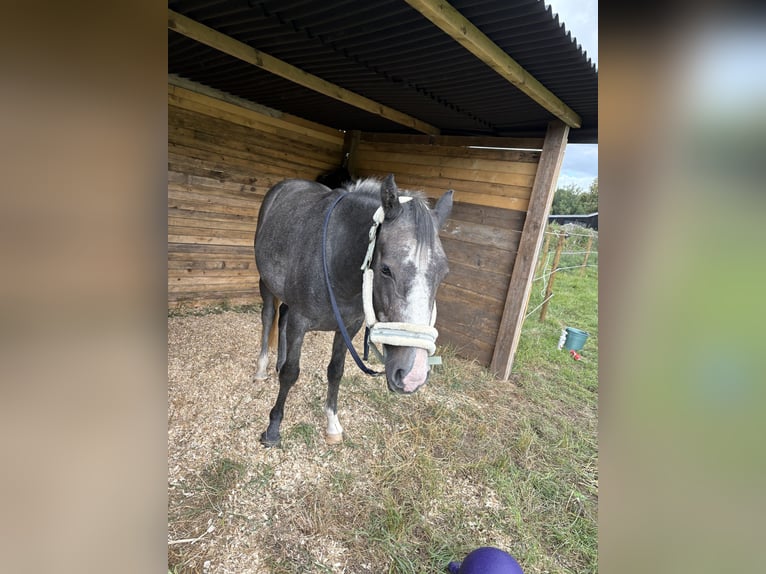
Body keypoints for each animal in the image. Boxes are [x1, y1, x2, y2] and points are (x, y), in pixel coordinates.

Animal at [253, 174, 453, 446]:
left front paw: (332, 424)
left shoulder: (348, 327)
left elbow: (335, 371)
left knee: (282, 315)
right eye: (386, 270)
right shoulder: (300, 321)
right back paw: (262, 369)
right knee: (269, 317)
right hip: (266, 283)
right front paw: (273, 428)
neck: (334, 260)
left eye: (443, 273)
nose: (413, 376)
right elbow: (291, 373)